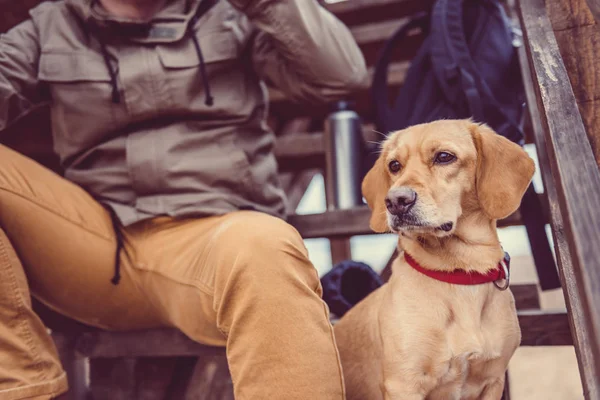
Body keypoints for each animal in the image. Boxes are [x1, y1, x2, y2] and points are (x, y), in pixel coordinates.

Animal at [332, 119, 536, 400]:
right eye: (394, 165)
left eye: (444, 157)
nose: (395, 201)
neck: (460, 272)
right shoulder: (403, 384)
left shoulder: (493, 380)